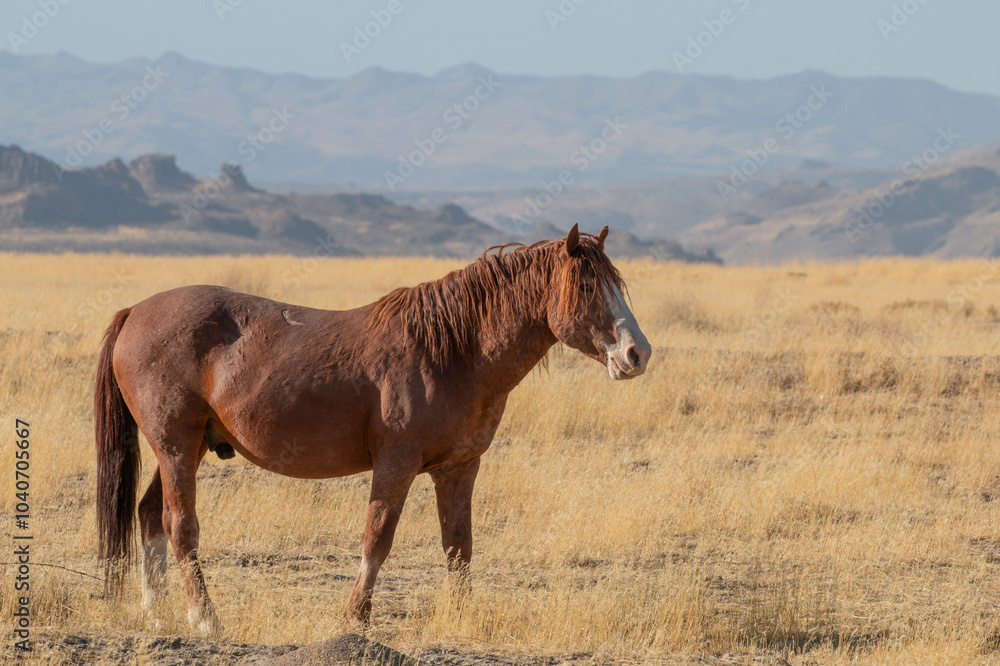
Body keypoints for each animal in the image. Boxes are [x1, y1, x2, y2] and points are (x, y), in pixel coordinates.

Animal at [94, 224, 652, 634]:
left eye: (618, 286)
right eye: (586, 286)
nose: (637, 354)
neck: (452, 351)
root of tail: (134, 311)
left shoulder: (458, 469)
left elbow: (459, 547)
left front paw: (462, 617)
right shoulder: (396, 465)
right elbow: (377, 538)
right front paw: (355, 618)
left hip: (185, 449)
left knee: (148, 516)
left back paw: (155, 612)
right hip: (176, 446)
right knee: (179, 525)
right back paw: (204, 619)